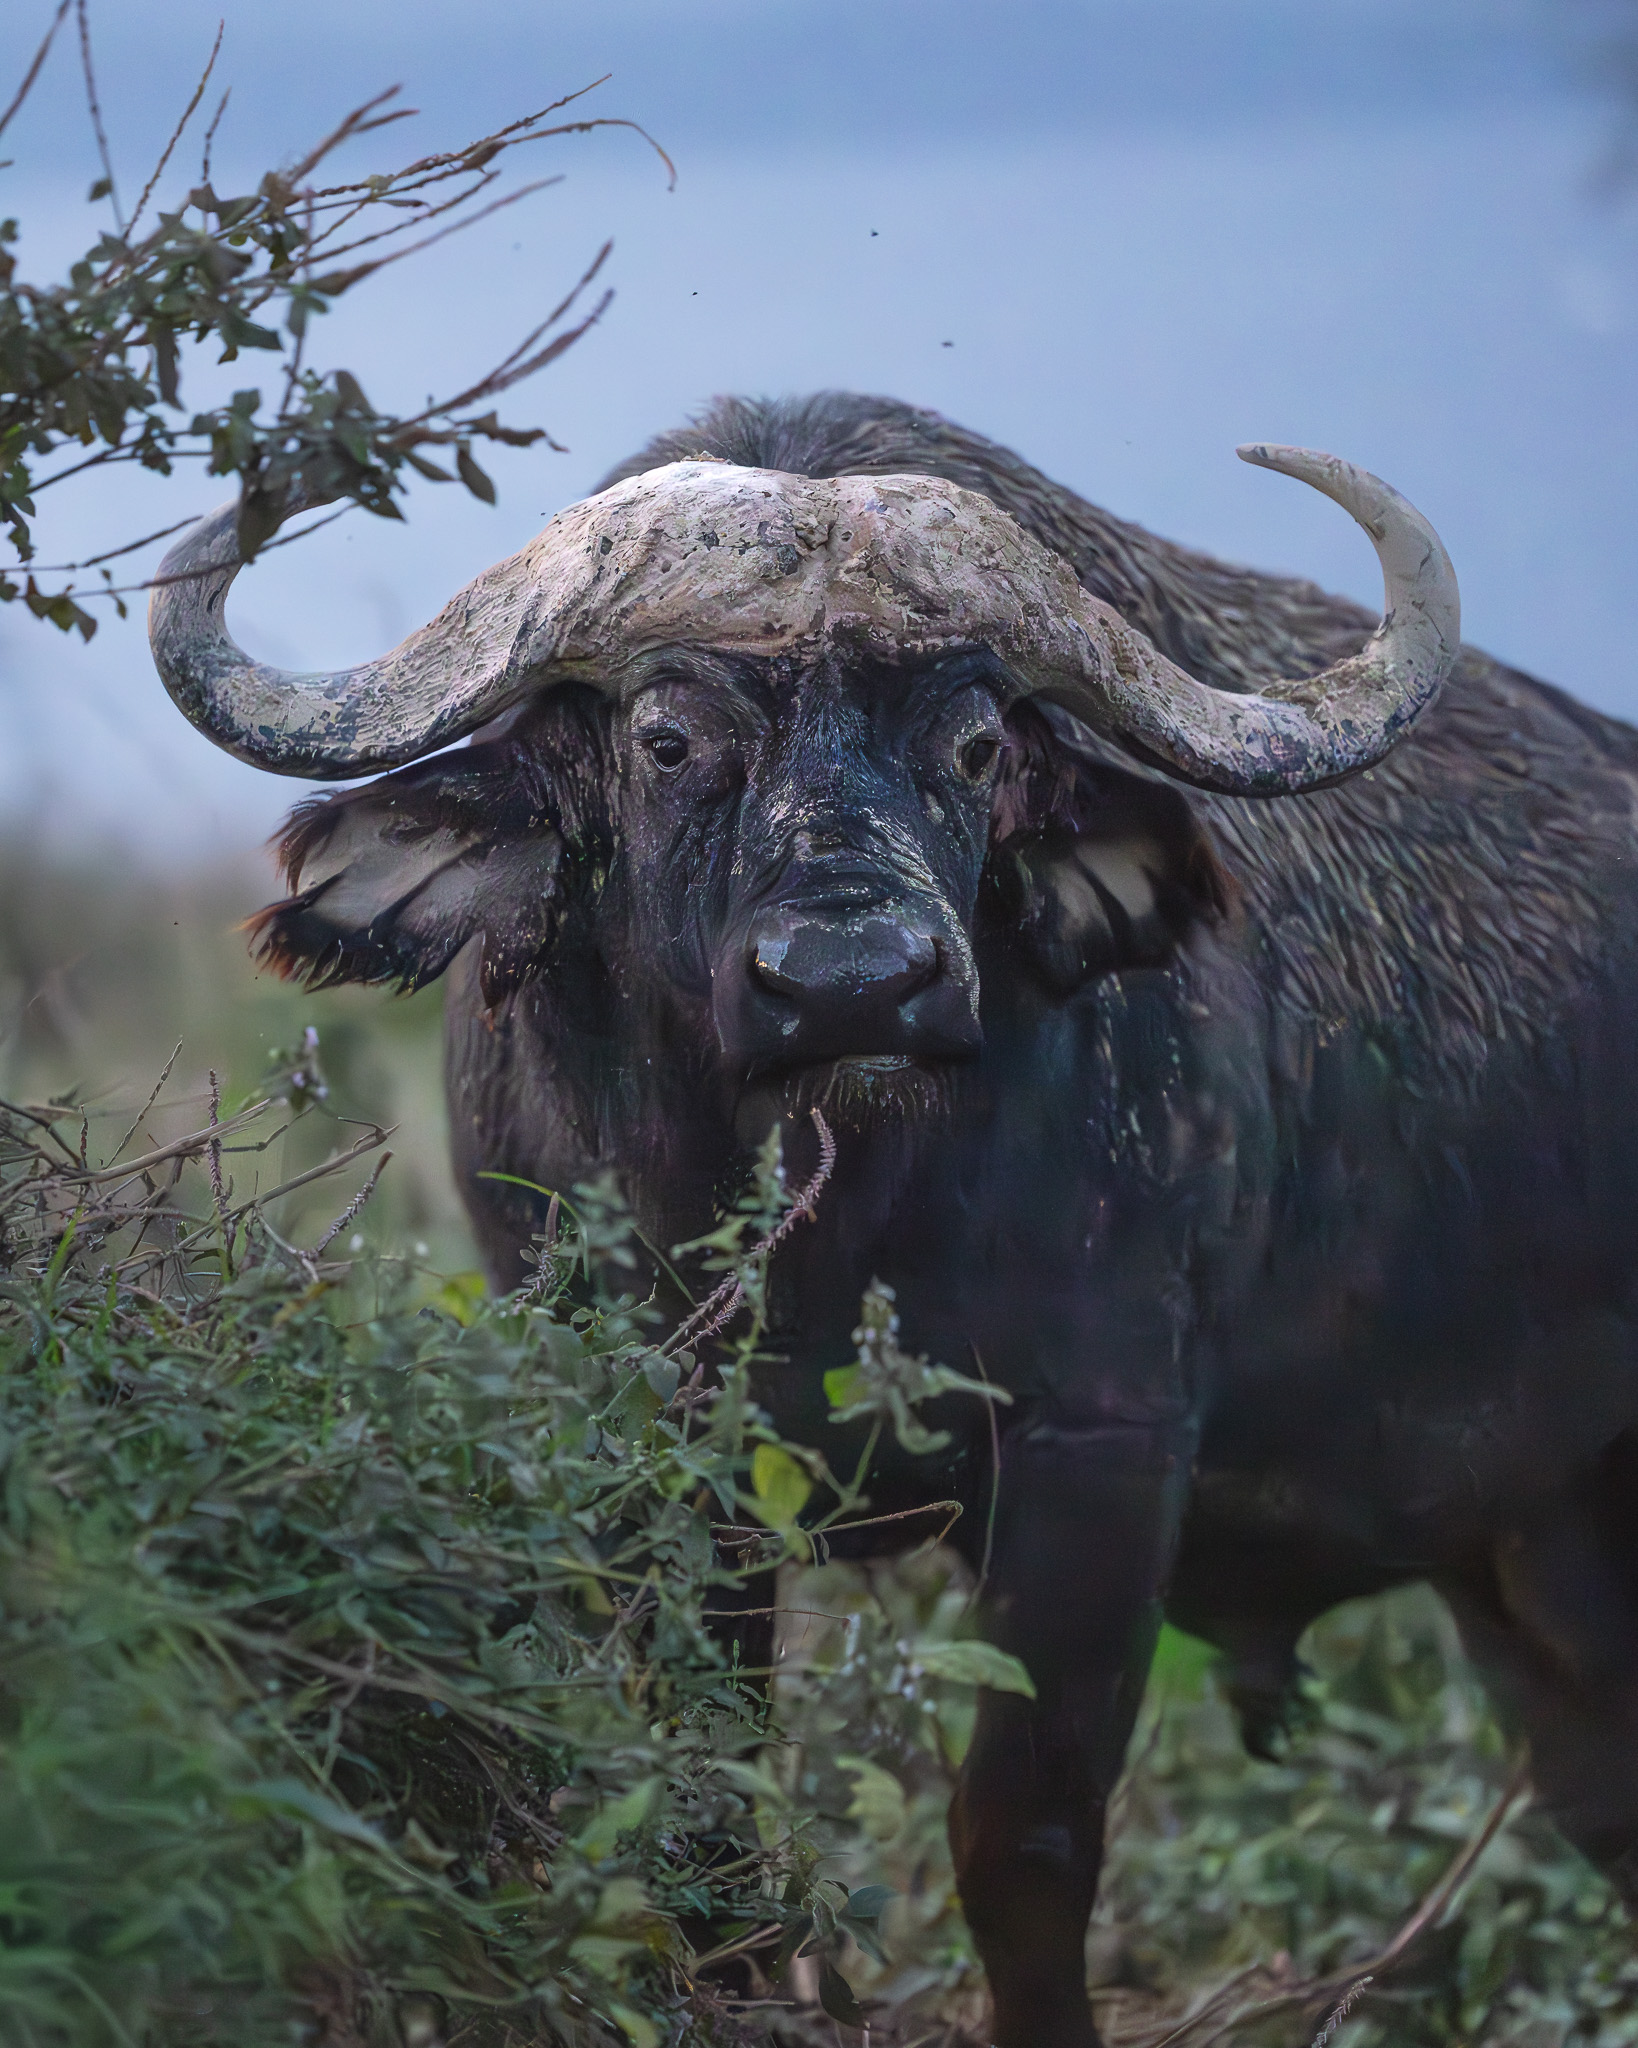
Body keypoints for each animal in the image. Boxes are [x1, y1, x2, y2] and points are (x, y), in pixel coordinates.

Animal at [149, 394, 1638, 2048]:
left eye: (975, 745)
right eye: (667, 740)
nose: (855, 985)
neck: (827, 1228)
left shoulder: (1100, 1451)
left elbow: (1022, 1841)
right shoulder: (654, 1443)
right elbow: (706, 1812)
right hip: (1529, 1563)